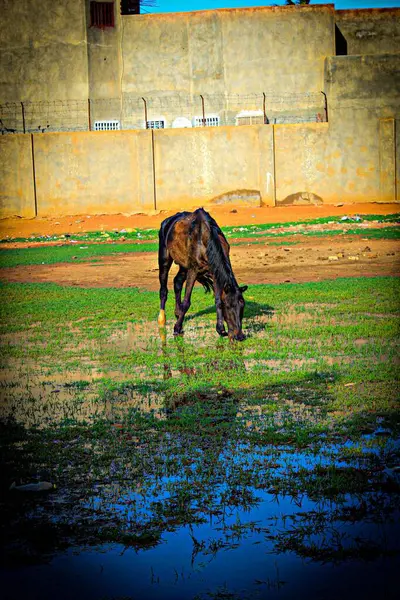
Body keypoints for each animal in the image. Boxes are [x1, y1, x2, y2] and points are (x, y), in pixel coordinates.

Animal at [157, 207, 247, 340]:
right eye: (228, 306)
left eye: (242, 306)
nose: (239, 336)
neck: (205, 240)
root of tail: (166, 222)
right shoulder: (193, 270)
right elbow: (186, 302)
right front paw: (177, 328)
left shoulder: (215, 273)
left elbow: (218, 299)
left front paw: (220, 329)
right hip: (164, 258)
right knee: (163, 290)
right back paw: (162, 320)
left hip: (184, 265)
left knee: (177, 282)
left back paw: (177, 313)